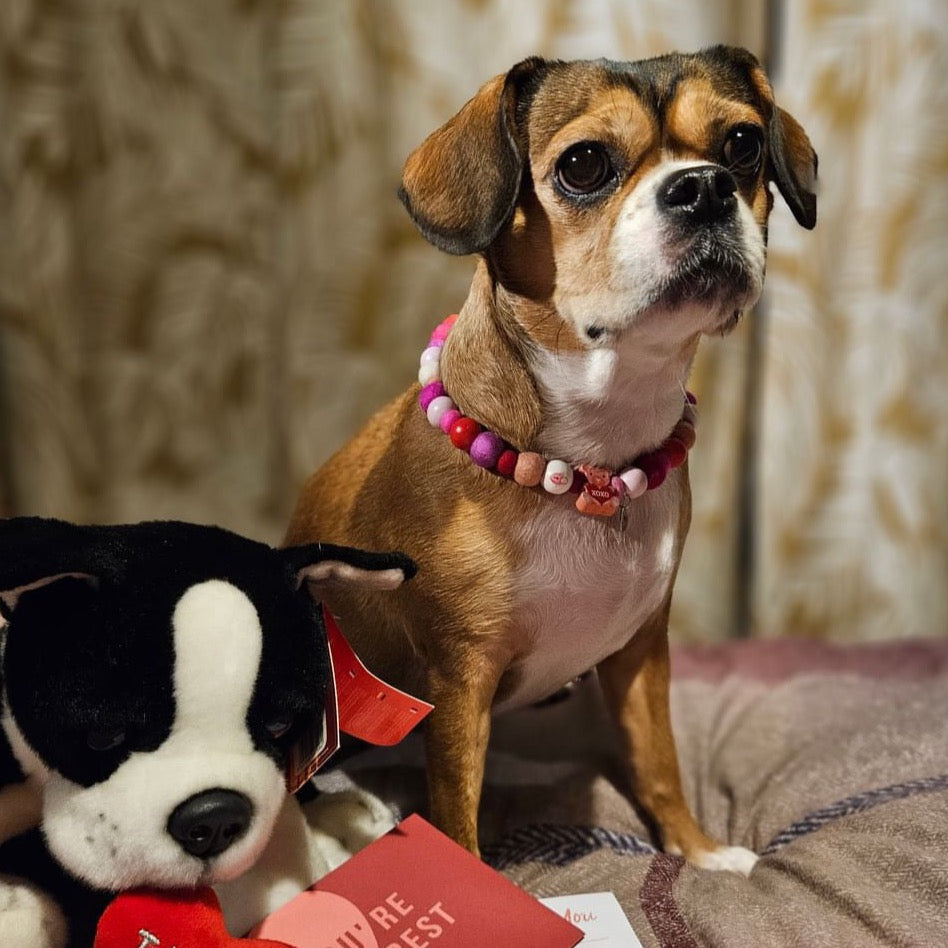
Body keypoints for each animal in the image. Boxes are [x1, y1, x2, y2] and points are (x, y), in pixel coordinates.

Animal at [286, 46, 816, 872]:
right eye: (585, 164)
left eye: (742, 145)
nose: (703, 186)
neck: (592, 460)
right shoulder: (461, 682)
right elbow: (457, 809)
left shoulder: (641, 654)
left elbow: (659, 762)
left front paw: (697, 851)